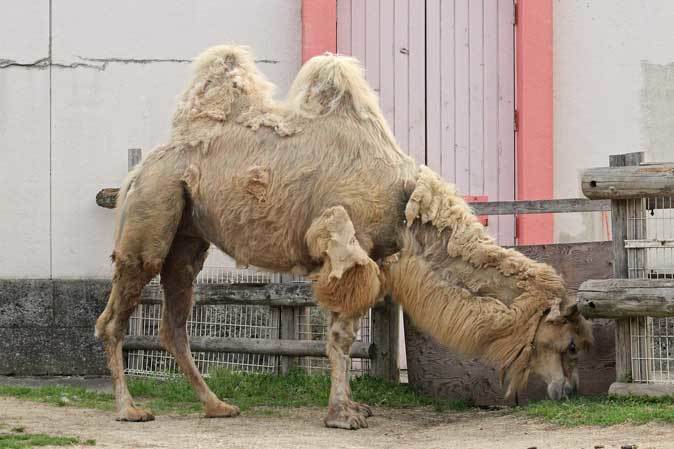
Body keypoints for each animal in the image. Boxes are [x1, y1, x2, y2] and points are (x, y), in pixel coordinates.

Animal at [94, 43, 588, 428]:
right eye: (571, 344)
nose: (570, 391)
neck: (404, 205)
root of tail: (143, 166)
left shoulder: (367, 257)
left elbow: (344, 334)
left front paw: (354, 407)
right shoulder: (342, 243)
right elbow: (339, 337)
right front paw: (342, 415)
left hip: (189, 234)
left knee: (174, 321)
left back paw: (217, 406)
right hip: (153, 209)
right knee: (117, 312)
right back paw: (129, 409)